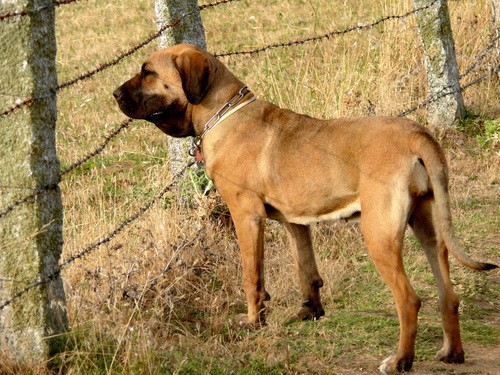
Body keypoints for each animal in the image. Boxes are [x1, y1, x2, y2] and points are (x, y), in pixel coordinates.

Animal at [114, 43, 496, 374]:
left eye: (147, 72)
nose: (115, 94)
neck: (223, 113)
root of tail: (418, 134)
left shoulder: (246, 216)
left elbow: (252, 276)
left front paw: (253, 321)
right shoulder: (295, 221)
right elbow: (306, 270)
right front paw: (309, 311)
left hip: (379, 234)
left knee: (409, 300)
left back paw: (400, 360)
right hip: (428, 225)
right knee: (449, 294)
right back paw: (451, 352)